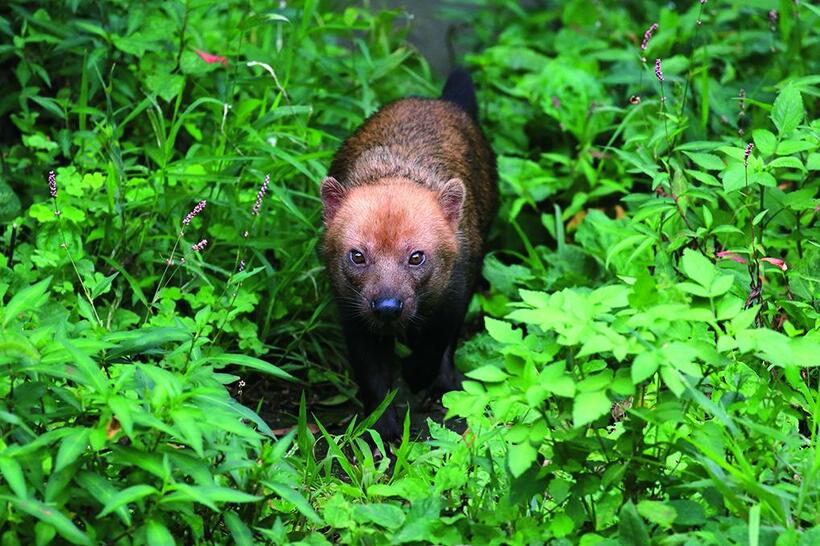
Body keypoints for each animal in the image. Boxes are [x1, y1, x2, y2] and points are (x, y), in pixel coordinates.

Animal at [320, 69, 496, 438]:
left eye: (416, 256)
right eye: (357, 255)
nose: (387, 306)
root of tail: (439, 101)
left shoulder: (454, 295)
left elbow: (435, 345)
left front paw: (419, 378)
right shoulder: (353, 314)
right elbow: (373, 377)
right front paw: (382, 431)